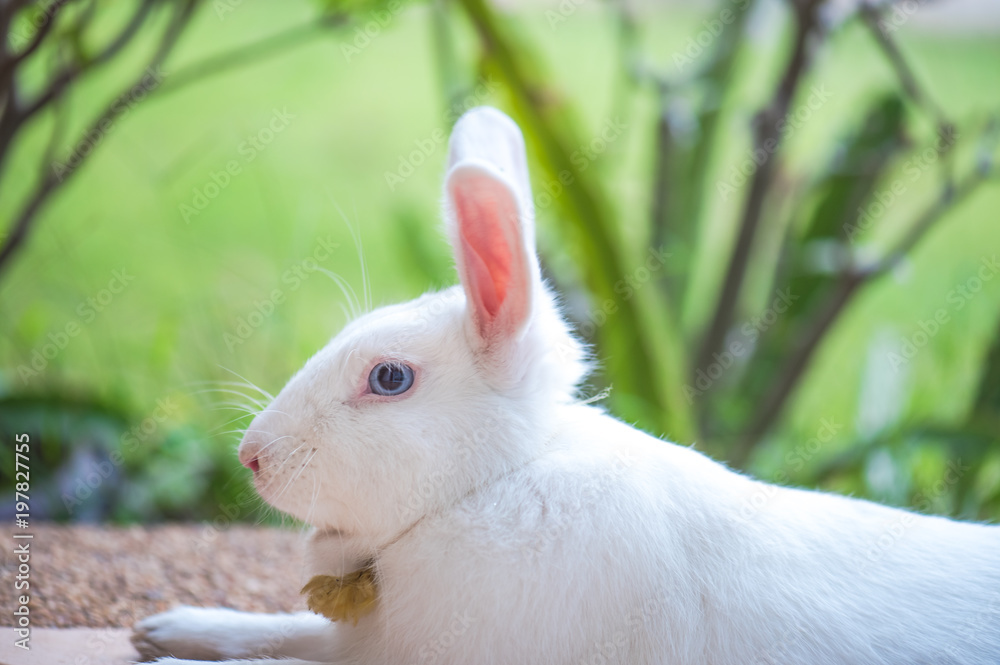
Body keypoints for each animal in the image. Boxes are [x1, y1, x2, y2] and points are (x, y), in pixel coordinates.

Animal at [132, 106, 1000, 665]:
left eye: (389, 377)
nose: (251, 456)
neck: (492, 486)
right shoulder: (362, 639)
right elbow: (281, 629)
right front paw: (165, 629)